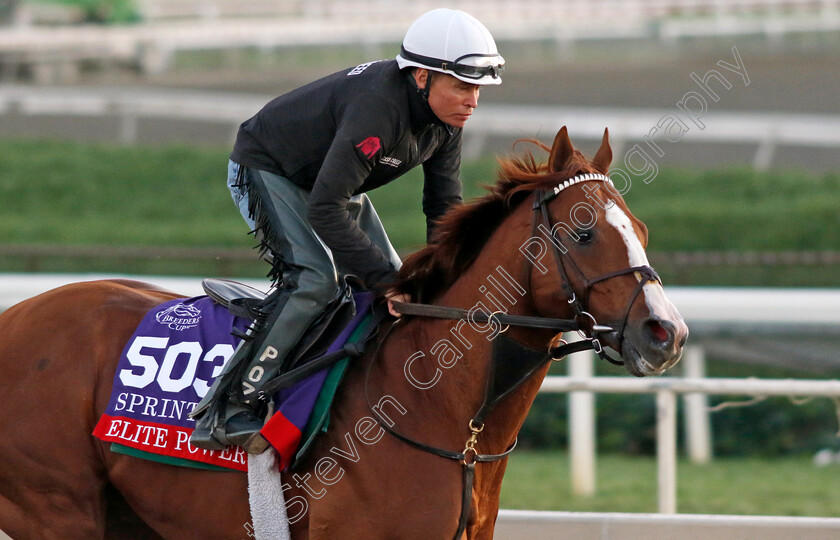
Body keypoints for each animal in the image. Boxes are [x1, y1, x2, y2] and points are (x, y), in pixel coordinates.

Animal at [0, 127, 688, 540]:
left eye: (643, 230)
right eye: (583, 232)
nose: (667, 332)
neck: (446, 414)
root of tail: (15, 317)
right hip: (57, 510)